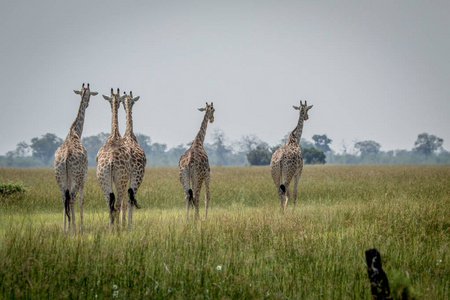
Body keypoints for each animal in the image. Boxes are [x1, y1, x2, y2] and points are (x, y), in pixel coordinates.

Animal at [53, 83, 97, 231]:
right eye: (89, 95)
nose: (88, 103)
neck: (75, 132)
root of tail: (66, 157)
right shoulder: (84, 175)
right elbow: (81, 199)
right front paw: (81, 226)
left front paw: (68, 225)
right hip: (76, 177)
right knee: (72, 197)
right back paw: (72, 227)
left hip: (60, 176)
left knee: (63, 197)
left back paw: (64, 228)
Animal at [97, 88, 133, 229]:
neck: (115, 134)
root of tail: (111, 162)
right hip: (119, 179)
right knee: (117, 204)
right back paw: (117, 228)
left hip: (104, 178)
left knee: (110, 205)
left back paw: (112, 228)